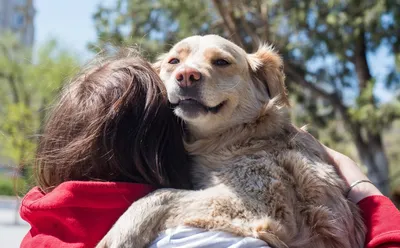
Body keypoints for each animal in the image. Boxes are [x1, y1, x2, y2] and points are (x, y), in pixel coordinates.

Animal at [97, 35, 366, 248]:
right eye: (174, 62)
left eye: (221, 62)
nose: (186, 76)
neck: (234, 138)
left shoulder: (262, 204)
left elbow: (163, 194)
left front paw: (121, 232)